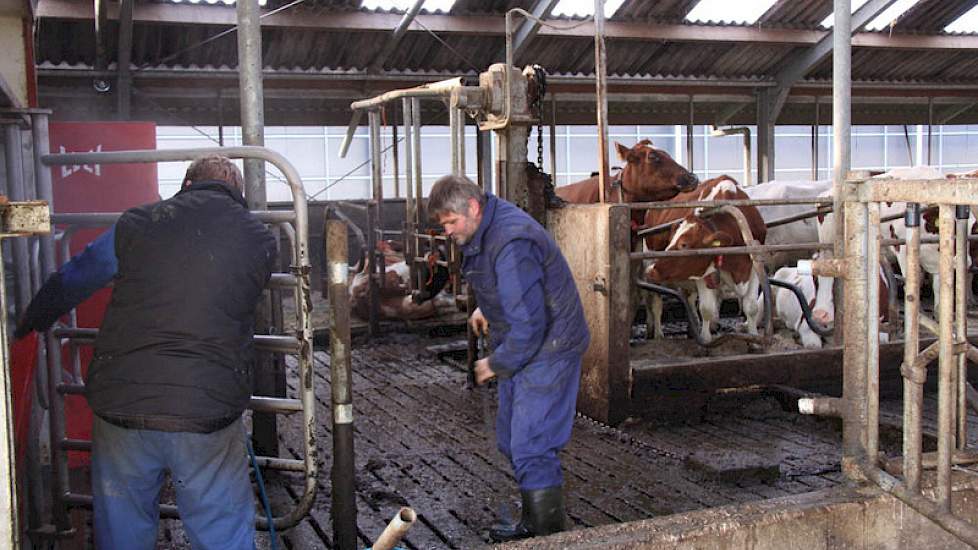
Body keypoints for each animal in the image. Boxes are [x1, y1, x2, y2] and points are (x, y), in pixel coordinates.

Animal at [644, 176, 768, 344]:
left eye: (684, 244)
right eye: (671, 239)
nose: (652, 270)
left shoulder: (753, 266)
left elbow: (752, 307)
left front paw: (754, 338)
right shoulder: (703, 273)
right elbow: (706, 309)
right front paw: (706, 340)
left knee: (689, 299)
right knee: (655, 301)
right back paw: (657, 333)